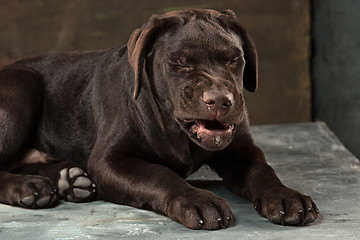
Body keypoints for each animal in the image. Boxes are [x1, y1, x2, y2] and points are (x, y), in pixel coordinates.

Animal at [0, 9, 318, 230]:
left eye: (234, 60)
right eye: (179, 62)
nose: (219, 100)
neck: (176, 132)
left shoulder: (241, 149)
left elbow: (261, 169)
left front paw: (285, 195)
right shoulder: (109, 160)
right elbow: (159, 174)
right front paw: (198, 200)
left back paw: (69, 179)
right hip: (22, 85)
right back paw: (29, 187)